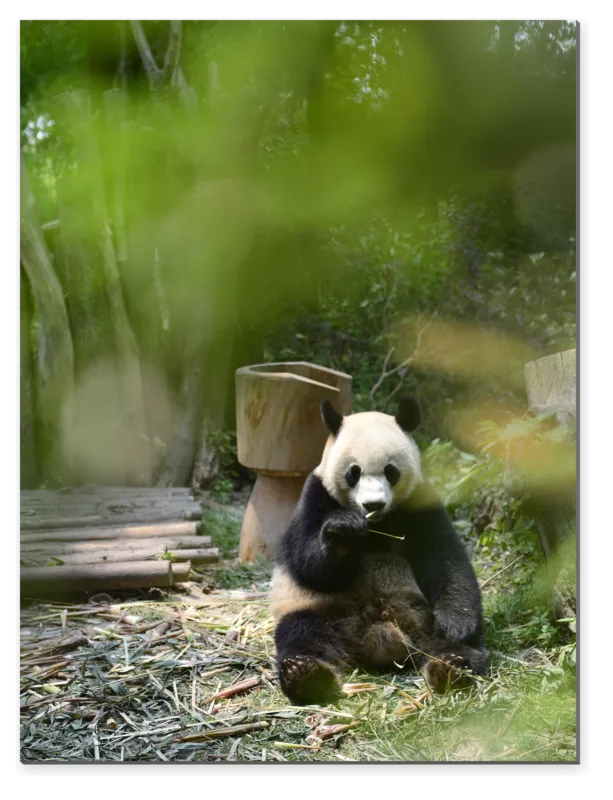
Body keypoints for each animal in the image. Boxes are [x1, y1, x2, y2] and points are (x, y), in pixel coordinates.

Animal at [270, 397, 487, 706]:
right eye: (353, 472)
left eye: (390, 471)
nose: (373, 505)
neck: (377, 524)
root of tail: (376, 640)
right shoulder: (315, 496)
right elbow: (308, 564)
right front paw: (344, 531)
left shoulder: (419, 501)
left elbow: (446, 558)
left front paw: (456, 623)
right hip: (317, 610)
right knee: (302, 634)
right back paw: (306, 675)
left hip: (421, 615)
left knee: (453, 644)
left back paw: (451, 667)